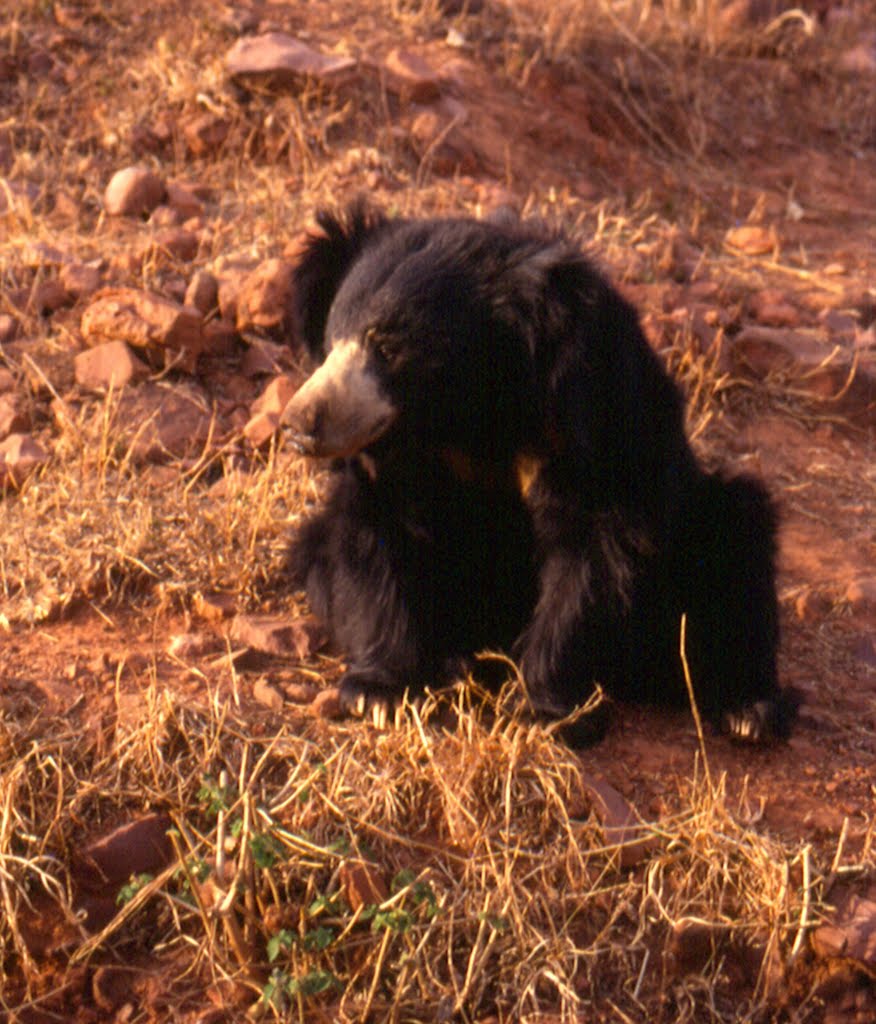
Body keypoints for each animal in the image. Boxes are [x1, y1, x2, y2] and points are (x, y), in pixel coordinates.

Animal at [282, 199, 803, 745]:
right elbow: (381, 534)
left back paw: (748, 710)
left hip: (699, 536)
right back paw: (454, 664)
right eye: (331, 340)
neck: (461, 412)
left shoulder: (587, 405)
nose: (298, 423)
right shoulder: (393, 453)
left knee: (739, 539)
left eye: (387, 347)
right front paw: (379, 692)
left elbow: (593, 552)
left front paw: (547, 711)